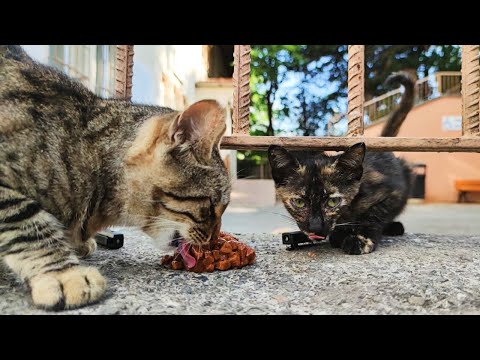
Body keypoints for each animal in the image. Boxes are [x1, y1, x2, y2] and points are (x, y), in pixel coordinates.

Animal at [268, 71, 414, 253]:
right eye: (299, 202)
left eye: (333, 202)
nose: (315, 227)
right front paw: (338, 235)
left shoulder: (393, 191)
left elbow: (374, 214)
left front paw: (360, 238)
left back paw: (394, 227)